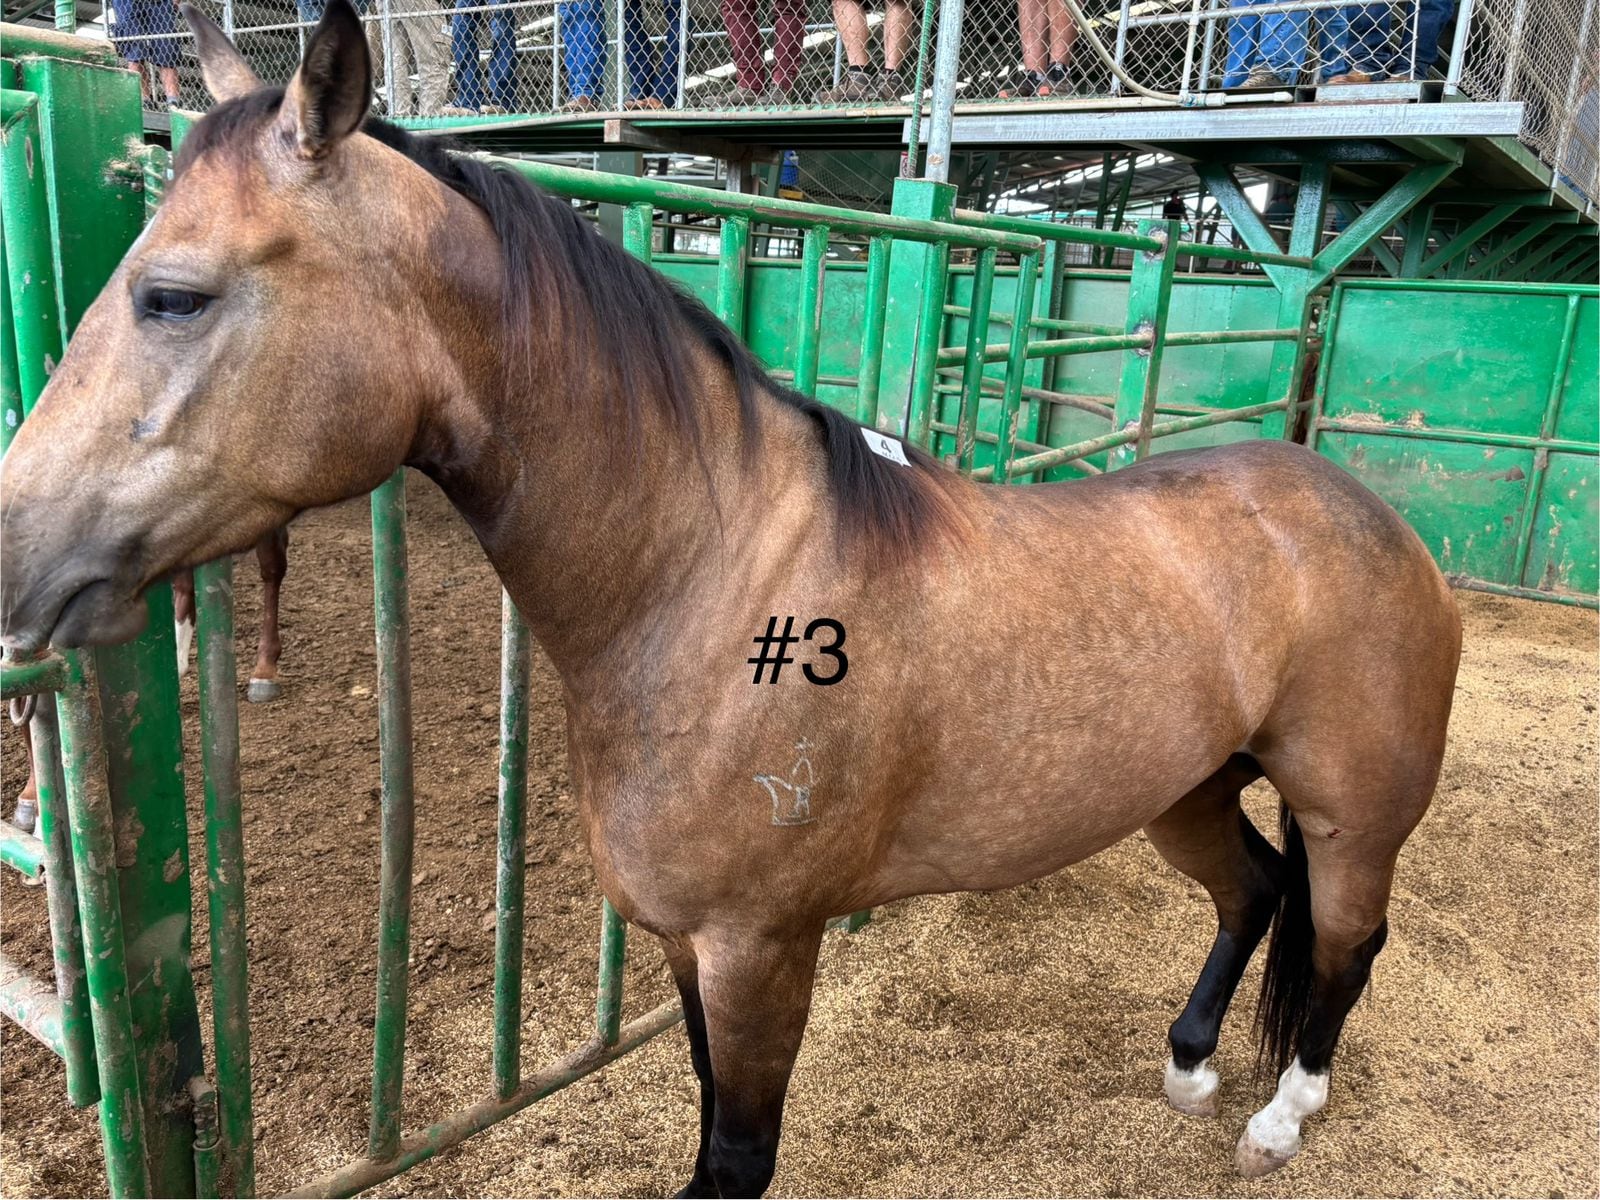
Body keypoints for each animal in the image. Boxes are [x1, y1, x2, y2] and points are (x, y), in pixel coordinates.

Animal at [0, 5, 1461, 1191]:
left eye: (172, 295)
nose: (12, 561)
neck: (709, 590)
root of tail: (1376, 522)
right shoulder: (686, 948)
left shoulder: (761, 950)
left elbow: (736, 1159)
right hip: (1186, 787)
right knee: (1250, 893)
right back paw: (1191, 1064)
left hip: (1353, 813)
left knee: (1348, 938)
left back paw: (1279, 1119)